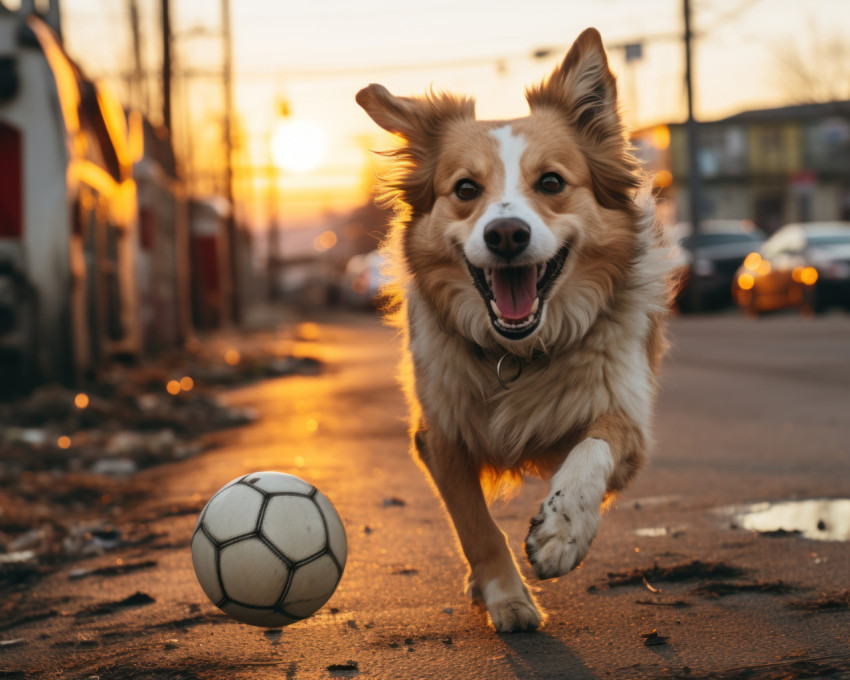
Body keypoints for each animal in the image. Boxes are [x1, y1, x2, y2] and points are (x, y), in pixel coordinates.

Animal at [354, 26, 672, 632]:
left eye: (551, 182)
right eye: (465, 189)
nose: (506, 234)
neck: (517, 353)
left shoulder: (629, 420)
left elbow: (595, 446)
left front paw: (563, 532)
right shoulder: (440, 434)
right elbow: (475, 527)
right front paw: (506, 596)